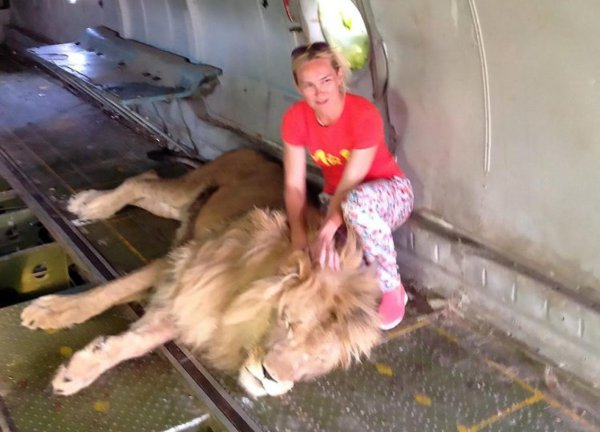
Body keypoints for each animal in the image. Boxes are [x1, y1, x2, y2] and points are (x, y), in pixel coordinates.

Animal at [23, 149, 382, 398]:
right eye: (289, 321)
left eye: (316, 361)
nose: (270, 379)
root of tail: (262, 155)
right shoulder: (179, 263)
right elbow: (108, 292)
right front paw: (51, 311)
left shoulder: (195, 307)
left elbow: (138, 342)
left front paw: (78, 371)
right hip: (185, 192)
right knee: (140, 180)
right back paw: (92, 205)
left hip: (179, 208)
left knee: (145, 185)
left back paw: (91, 202)